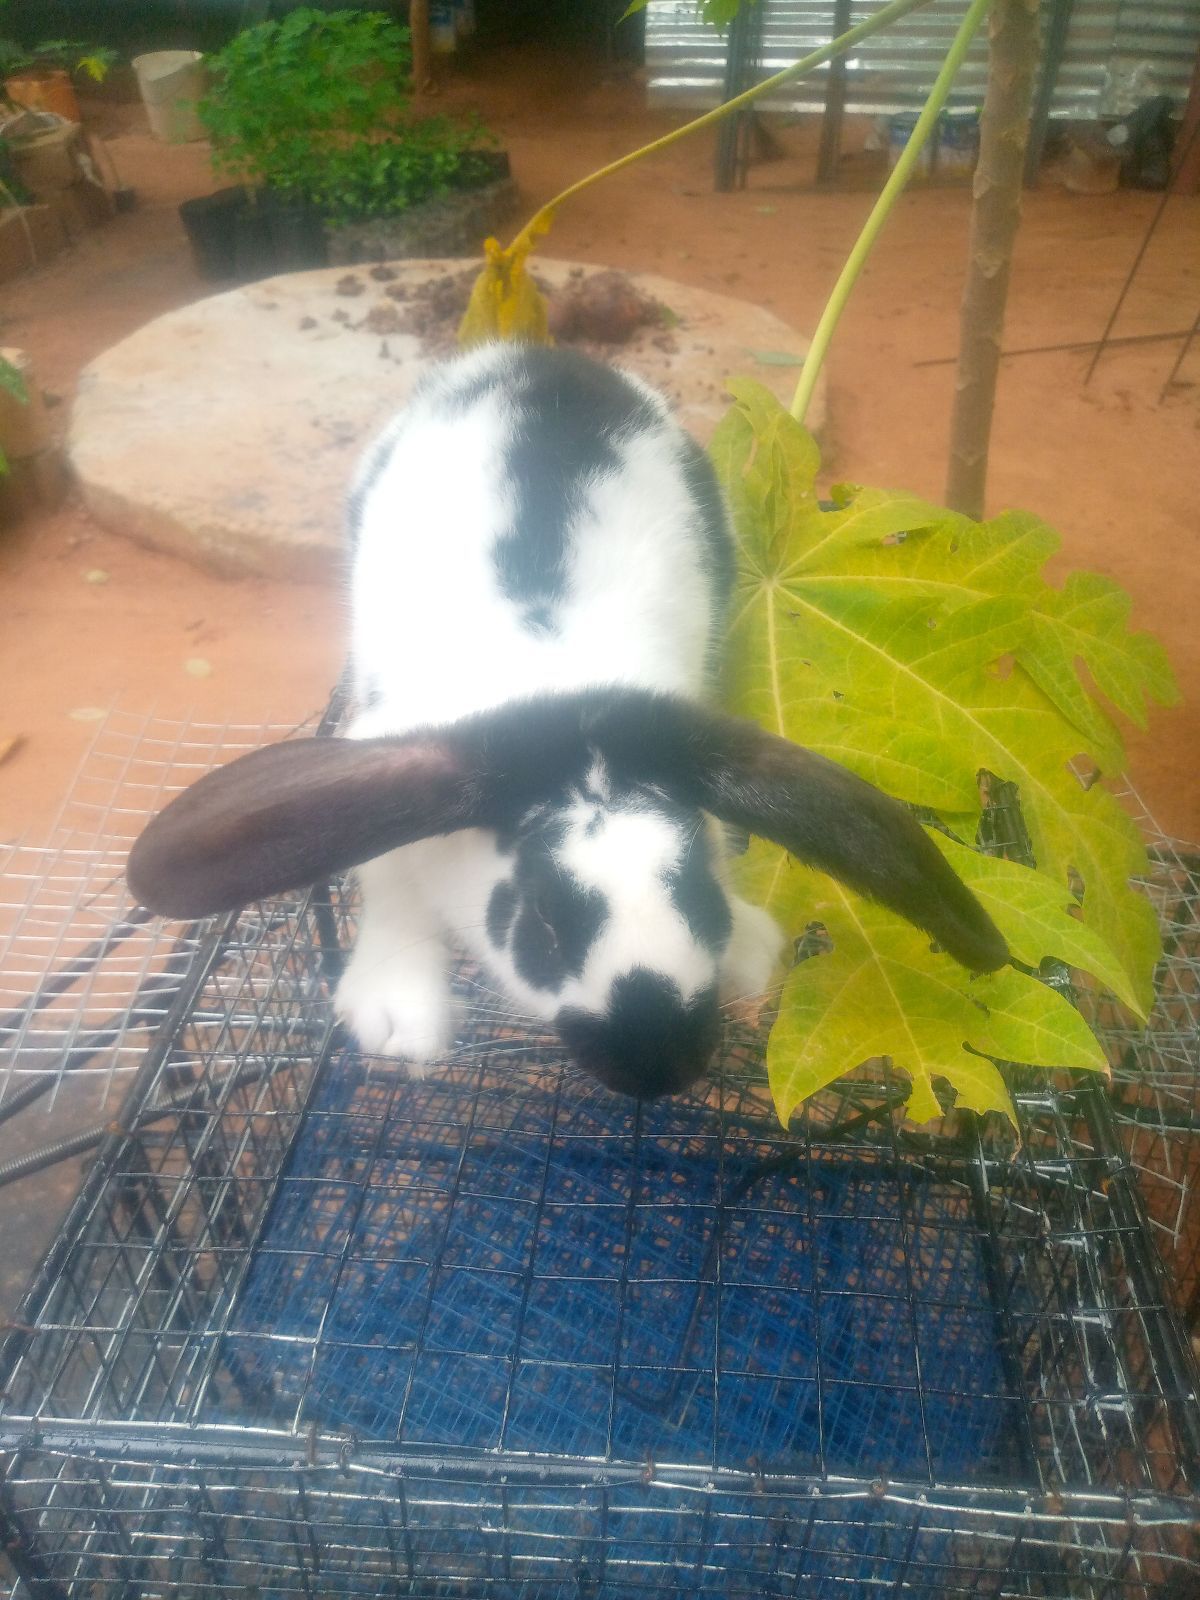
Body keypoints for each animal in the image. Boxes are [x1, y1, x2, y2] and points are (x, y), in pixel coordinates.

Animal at [128, 342, 1007, 1100]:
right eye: (543, 922)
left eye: (699, 893)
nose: (657, 1068)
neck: (562, 696)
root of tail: (539, 356)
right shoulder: (387, 753)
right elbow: (389, 880)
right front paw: (398, 1018)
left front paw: (749, 956)